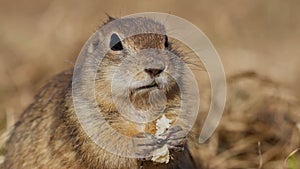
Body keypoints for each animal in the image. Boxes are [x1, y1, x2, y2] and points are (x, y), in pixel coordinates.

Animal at [3, 16, 199, 169]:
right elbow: (106, 147)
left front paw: (177, 135)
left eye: (166, 41)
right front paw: (138, 143)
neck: (140, 103)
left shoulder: (177, 105)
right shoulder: (85, 118)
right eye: (115, 43)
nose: (155, 68)